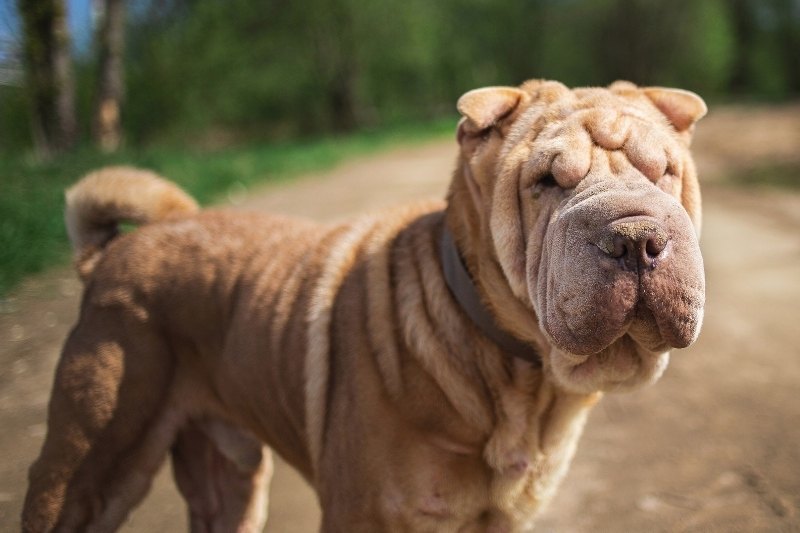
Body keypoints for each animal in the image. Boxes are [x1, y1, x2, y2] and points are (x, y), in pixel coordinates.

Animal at [21, 80, 704, 532]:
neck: (515, 375)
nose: (636, 237)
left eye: (664, 172)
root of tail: (110, 253)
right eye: (547, 182)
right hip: (88, 466)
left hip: (229, 479)